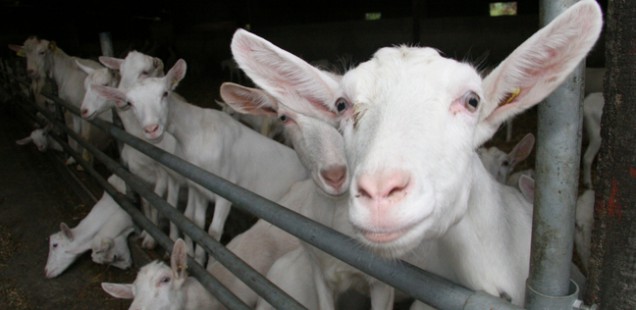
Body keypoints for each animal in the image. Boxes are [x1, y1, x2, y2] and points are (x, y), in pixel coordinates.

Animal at [95, 58, 310, 264]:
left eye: (165, 93)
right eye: (130, 103)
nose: (151, 129)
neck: (197, 132)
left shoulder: (227, 193)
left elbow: (214, 232)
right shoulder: (198, 188)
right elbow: (198, 225)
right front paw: (198, 258)